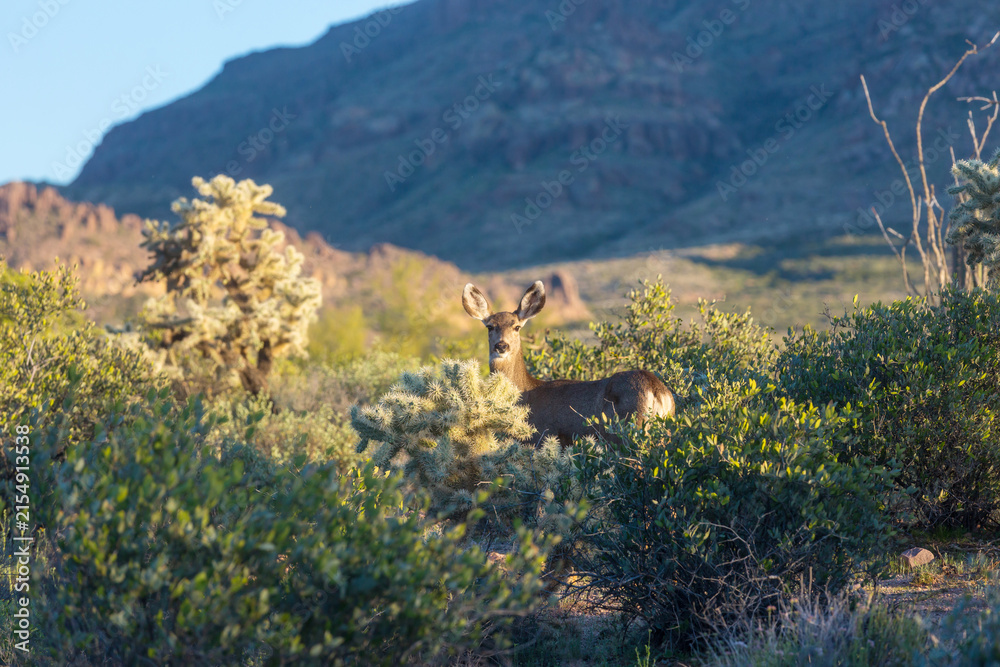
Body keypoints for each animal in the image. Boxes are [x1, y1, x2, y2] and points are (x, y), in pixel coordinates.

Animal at [463, 280, 675, 447]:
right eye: (490, 326)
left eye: (516, 327)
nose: (501, 345)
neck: (525, 395)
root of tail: (656, 389)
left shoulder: (540, 438)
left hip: (627, 431)